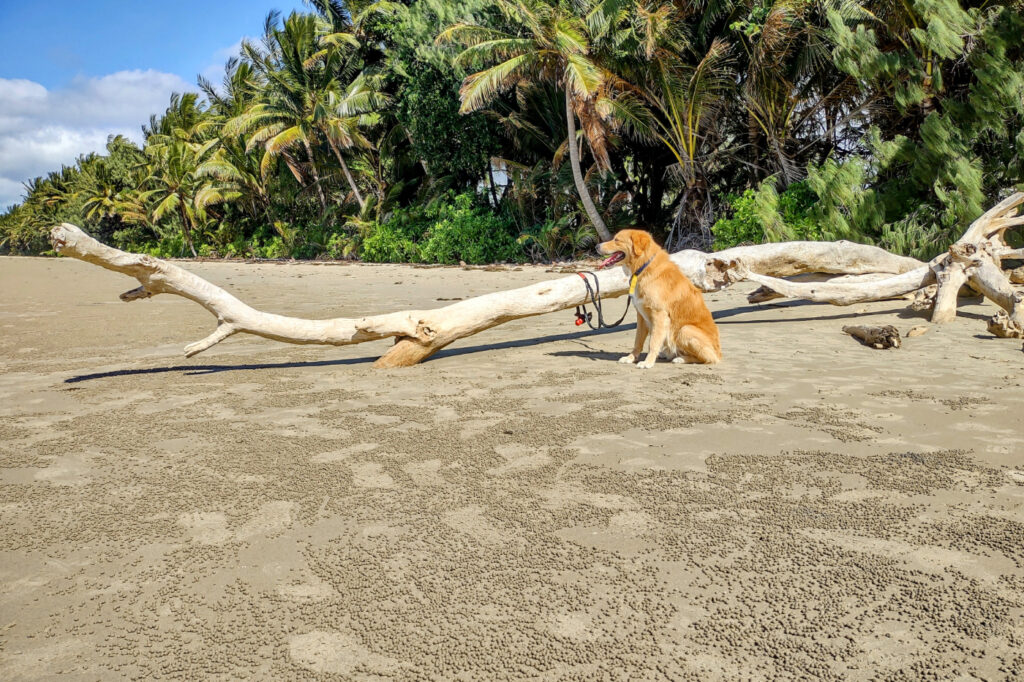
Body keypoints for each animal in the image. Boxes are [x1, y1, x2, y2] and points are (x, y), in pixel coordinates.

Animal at [593, 228, 720, 366]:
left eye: (617, 240)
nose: (596, 246)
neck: (643, 267)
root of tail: (720, 353)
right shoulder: (641, 315)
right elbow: (638, 341)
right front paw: (631, 358)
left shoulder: (659, 315)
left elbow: (653, 343)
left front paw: (647, 362)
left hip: (685, 330)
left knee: (709, 358)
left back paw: (681, 358)